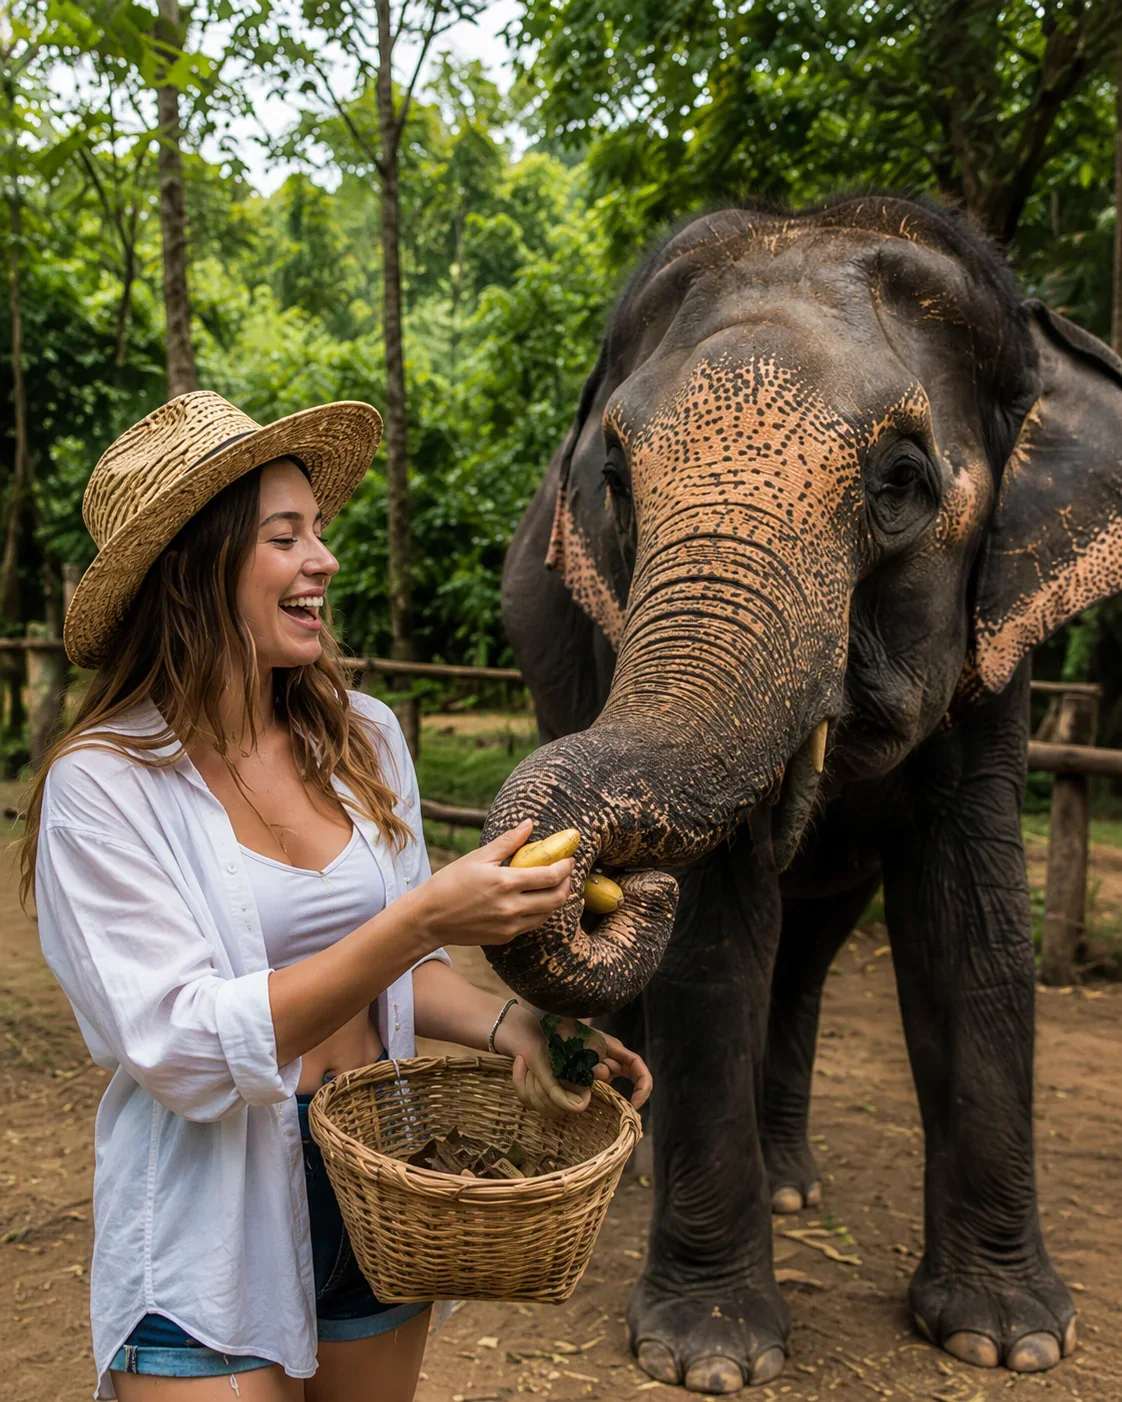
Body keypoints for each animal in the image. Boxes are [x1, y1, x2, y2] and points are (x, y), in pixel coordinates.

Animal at [479, 194, 1122, 1393]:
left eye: (904, 479)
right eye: (617, 484)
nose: (599, 871)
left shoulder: (996, 646)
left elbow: (974, 913)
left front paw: (1008, 1339)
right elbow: (714, 937)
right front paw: (711, 1358)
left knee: (814, 948)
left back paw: (790, 1185)